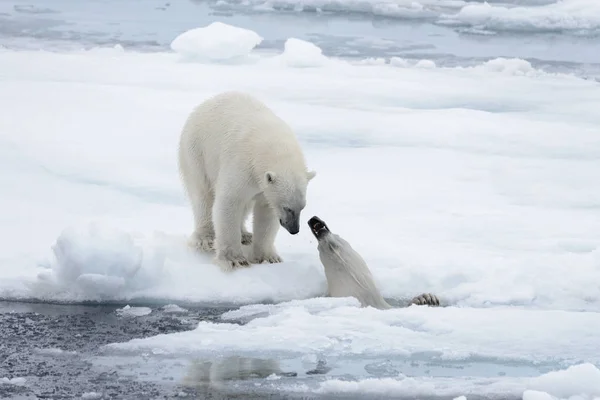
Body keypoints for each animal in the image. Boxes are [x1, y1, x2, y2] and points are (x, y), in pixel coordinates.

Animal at [178, 90, 316, 272]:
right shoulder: (242, 165)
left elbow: (265, 212)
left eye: (302, 207)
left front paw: (268, 258)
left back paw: (245, 235)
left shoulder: (263, 186)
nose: (294, 229)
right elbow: (229, 202)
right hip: (196, 152)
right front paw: (234, 260)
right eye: (286, 207)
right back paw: (205, 239)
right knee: (202, 195)